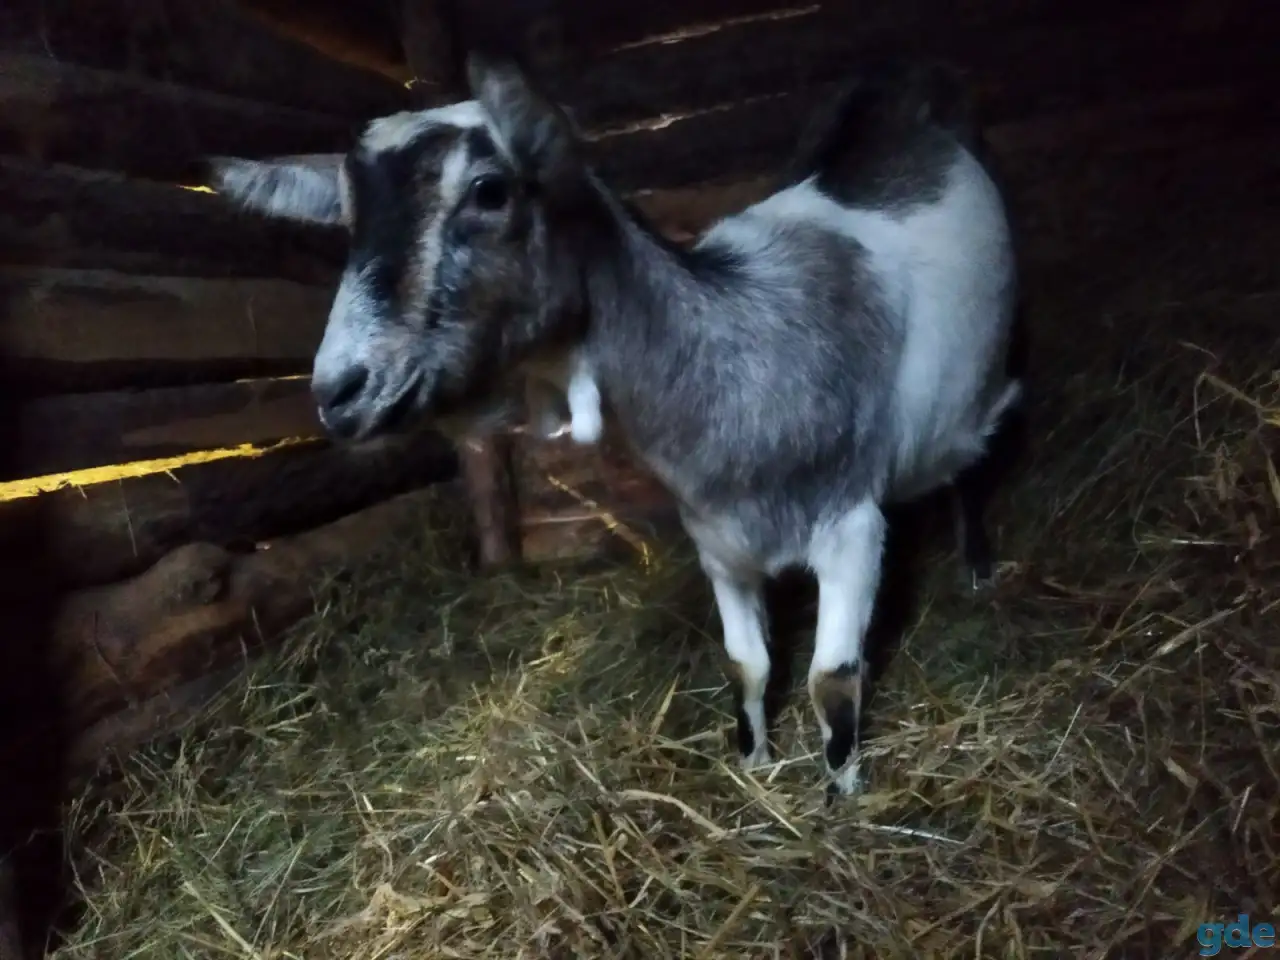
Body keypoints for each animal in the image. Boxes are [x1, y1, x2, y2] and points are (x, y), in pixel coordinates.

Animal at [207, 55, 1021, 796]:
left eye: (489, 190)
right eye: (350, 217)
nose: (341, 390)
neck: (742, 347)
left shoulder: (850, 523)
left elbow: (834, 678)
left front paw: (840, 795)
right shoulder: (717, 543)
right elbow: (746, 665)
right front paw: (753, 765)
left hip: (992, 367)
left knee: (979, 448)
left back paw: (978, 565)